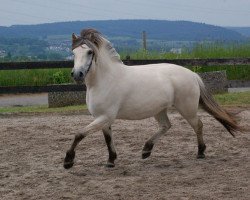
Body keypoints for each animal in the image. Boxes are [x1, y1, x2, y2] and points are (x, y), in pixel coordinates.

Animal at [63, 28, 239, 169]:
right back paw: (146, 150)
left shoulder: (105, 116)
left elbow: (79, 134)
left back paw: (200, 152)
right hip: (159, 110)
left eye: (89, 52)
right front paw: (111, 161)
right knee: (166, 126)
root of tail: (192, 74)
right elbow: (108, 139)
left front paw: (68, 161)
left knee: (198, 125)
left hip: (187, 108)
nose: (77, 74)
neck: (104, 80)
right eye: (73, 53)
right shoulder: (102, 118)